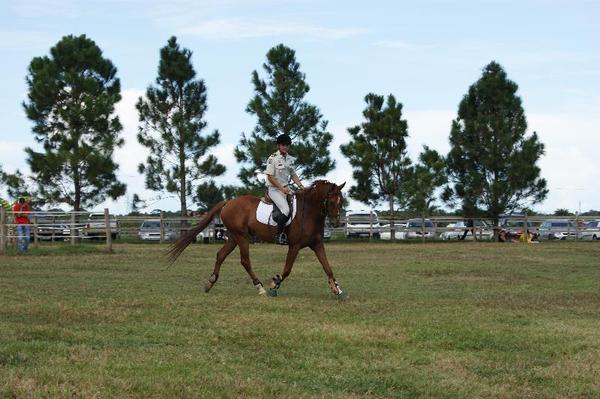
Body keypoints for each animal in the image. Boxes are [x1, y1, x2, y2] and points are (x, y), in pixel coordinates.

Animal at [166, 181, 350, 300]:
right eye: (331, 201)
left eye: (341, 201)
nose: (336, 223)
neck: (309, 212)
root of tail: (228, 203)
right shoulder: (295, 245)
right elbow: (287, 269)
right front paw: (274, 285)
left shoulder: (317, 244)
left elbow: (327, 267)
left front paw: (337, 290)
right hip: (242, 237)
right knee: (245, 261)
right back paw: (260, 287)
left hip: (233, 237)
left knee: (221, 255)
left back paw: (210, 283)